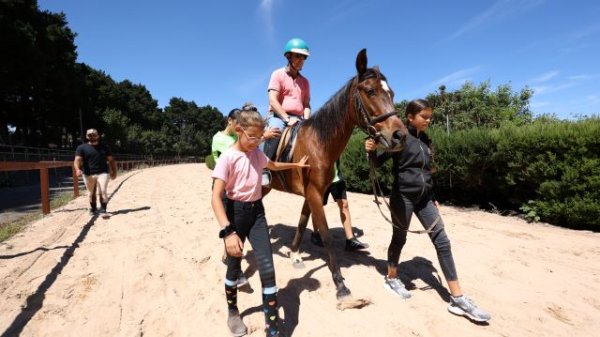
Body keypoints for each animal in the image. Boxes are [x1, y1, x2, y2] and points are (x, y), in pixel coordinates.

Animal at [268, 48, 406, 306]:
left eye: (391, 93)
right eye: (370, 91)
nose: (399, 135)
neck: (318, 143)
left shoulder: (314, 193)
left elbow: (302, 222)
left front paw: (294, 254)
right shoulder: (313, 193)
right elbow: (326, 236)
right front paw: (341, 285)